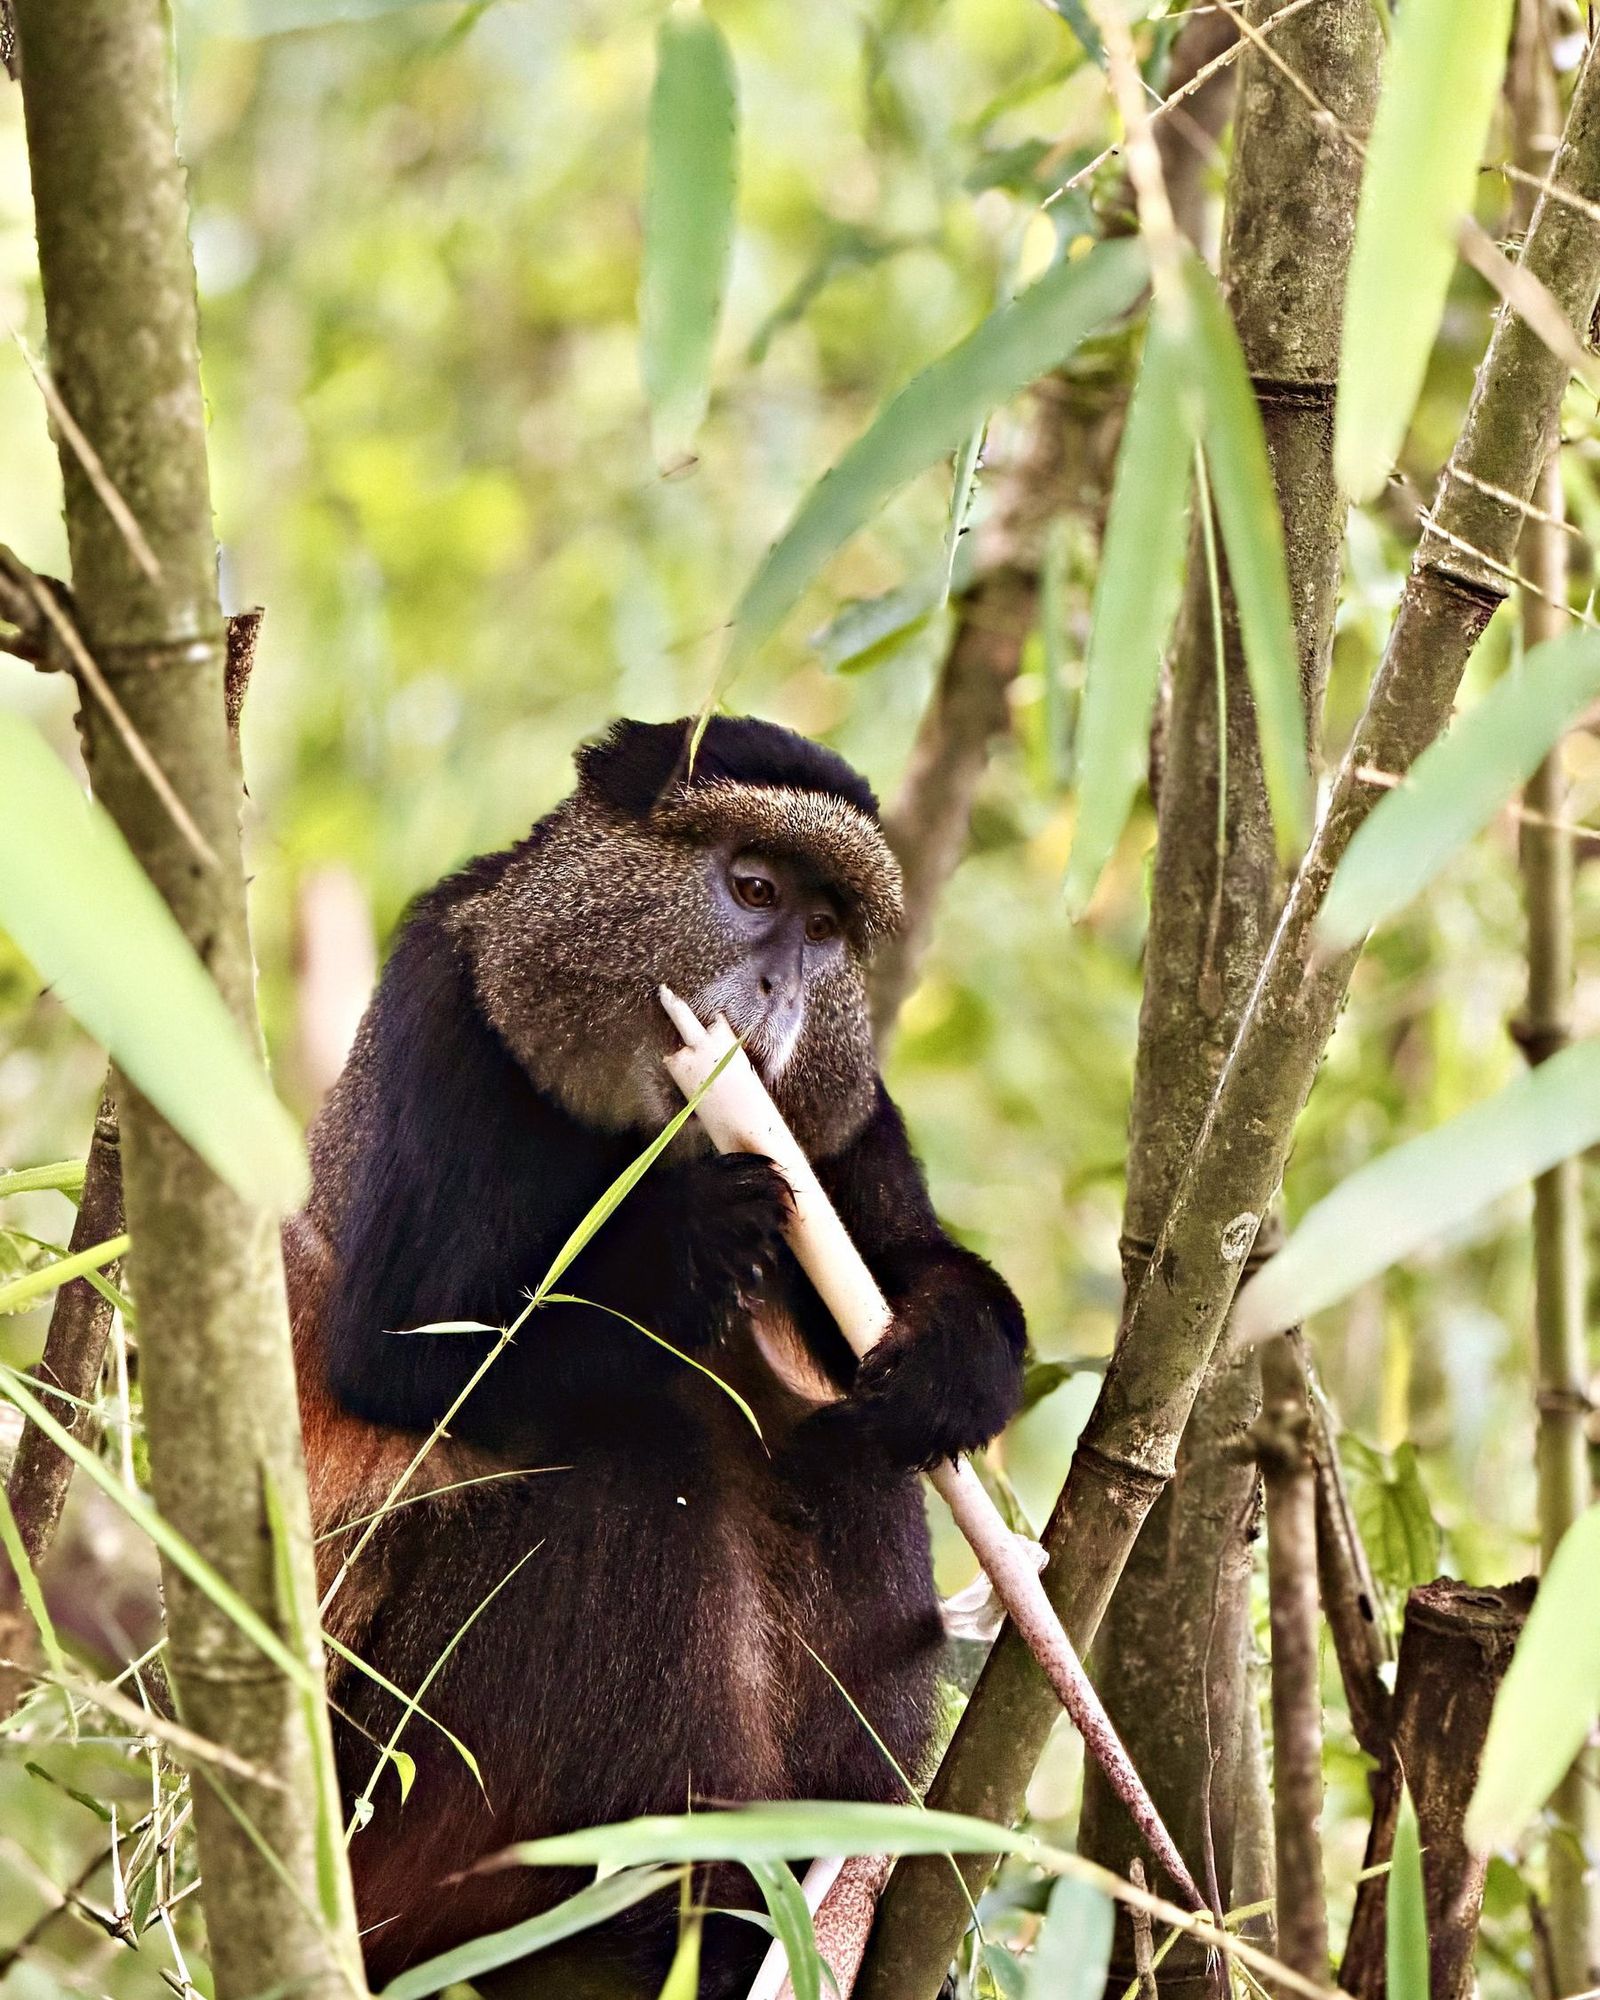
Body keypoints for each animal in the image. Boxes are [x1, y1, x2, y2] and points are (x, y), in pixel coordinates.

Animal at [285, 716, 1027, 1997]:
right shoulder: (444, 1011)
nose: (778, 987)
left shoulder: (838, 1110)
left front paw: (950, 1365)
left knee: (831, 1441)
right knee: (633, 1435)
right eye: (754, 889)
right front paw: (692, 1235)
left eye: (826, 929)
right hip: (397, 1811)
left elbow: (894, 1280)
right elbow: (398, 1357)